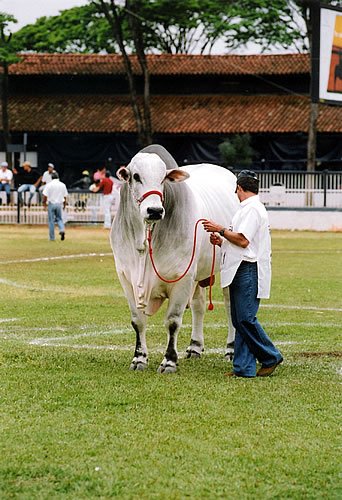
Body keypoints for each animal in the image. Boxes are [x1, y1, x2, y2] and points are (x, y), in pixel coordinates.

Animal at [111, 145, 239, 372]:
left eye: (164, 178)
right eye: (136, 176)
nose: (154, 210)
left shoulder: (182, 278)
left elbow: (172, 321)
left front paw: (169, 361)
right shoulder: (126, 278)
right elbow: (137, 321)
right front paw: (139, 358)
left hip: (227, 271)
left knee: (230, 306)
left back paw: (231, 350)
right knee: (198, 305)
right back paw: (195, 347)